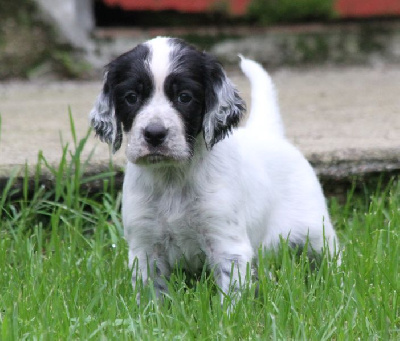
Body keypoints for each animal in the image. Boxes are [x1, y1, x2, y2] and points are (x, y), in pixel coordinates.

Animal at [89, 37, 340, 302]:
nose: (154, 134)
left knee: (331, 256)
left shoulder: (226, 243)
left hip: (315, 232)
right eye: (131, 97)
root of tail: (269, 133)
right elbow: (151, 294)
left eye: (184, 97)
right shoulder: (144, 245)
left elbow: (231, 295)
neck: (172, 177)